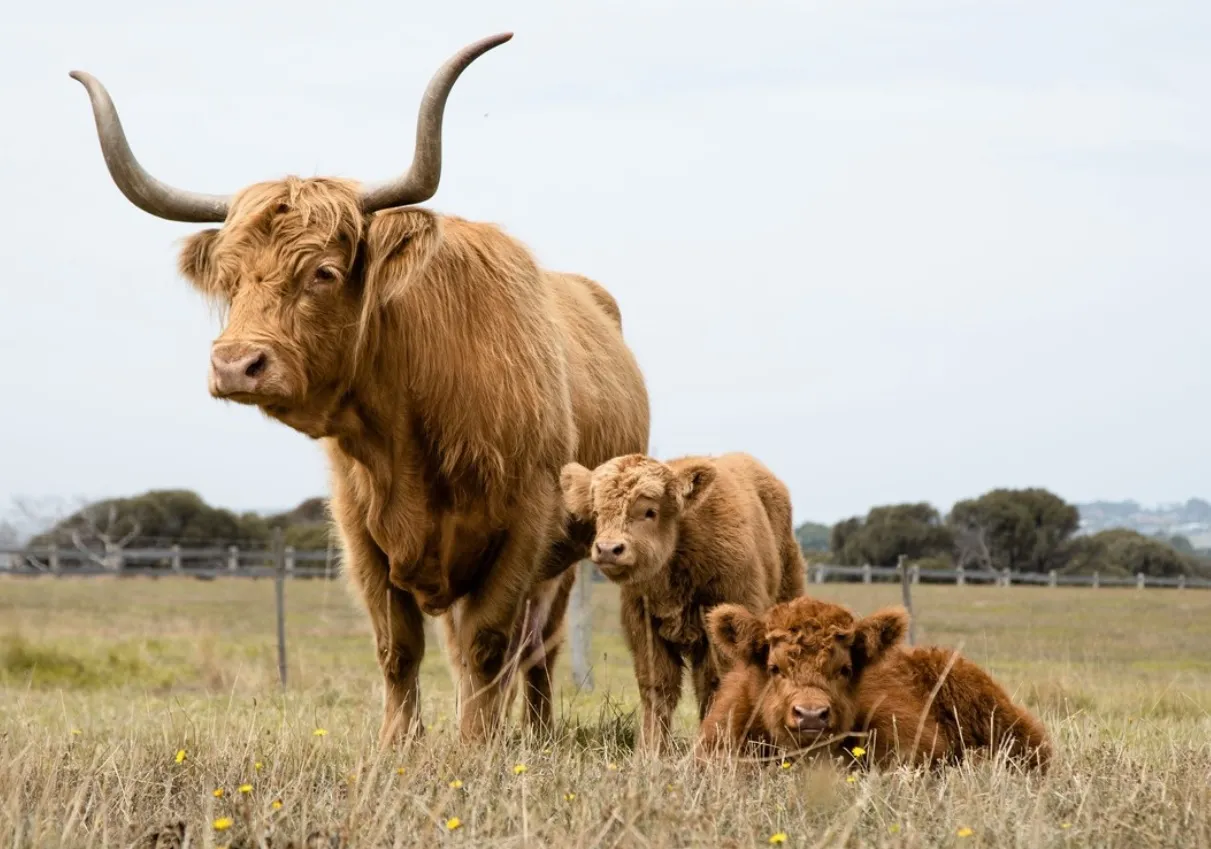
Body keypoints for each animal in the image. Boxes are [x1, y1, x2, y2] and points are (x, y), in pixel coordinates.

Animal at [68, 34, 653, 741]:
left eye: (322, 272)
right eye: (230, 279)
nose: (235, 364)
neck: (411, 426)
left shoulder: (526, 525)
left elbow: (490, 643)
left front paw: (477, 748)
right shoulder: (359, 531)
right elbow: (398, 647)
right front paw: (398, 746)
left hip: (565, 560)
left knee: (537, 647)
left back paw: (534, 733)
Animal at [561, 450, 808, 746]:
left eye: (650, 511)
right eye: (597, 512)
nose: (609, 549)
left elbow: (717, 685)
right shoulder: (645, 630)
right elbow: (658, 688)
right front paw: (651, 749)